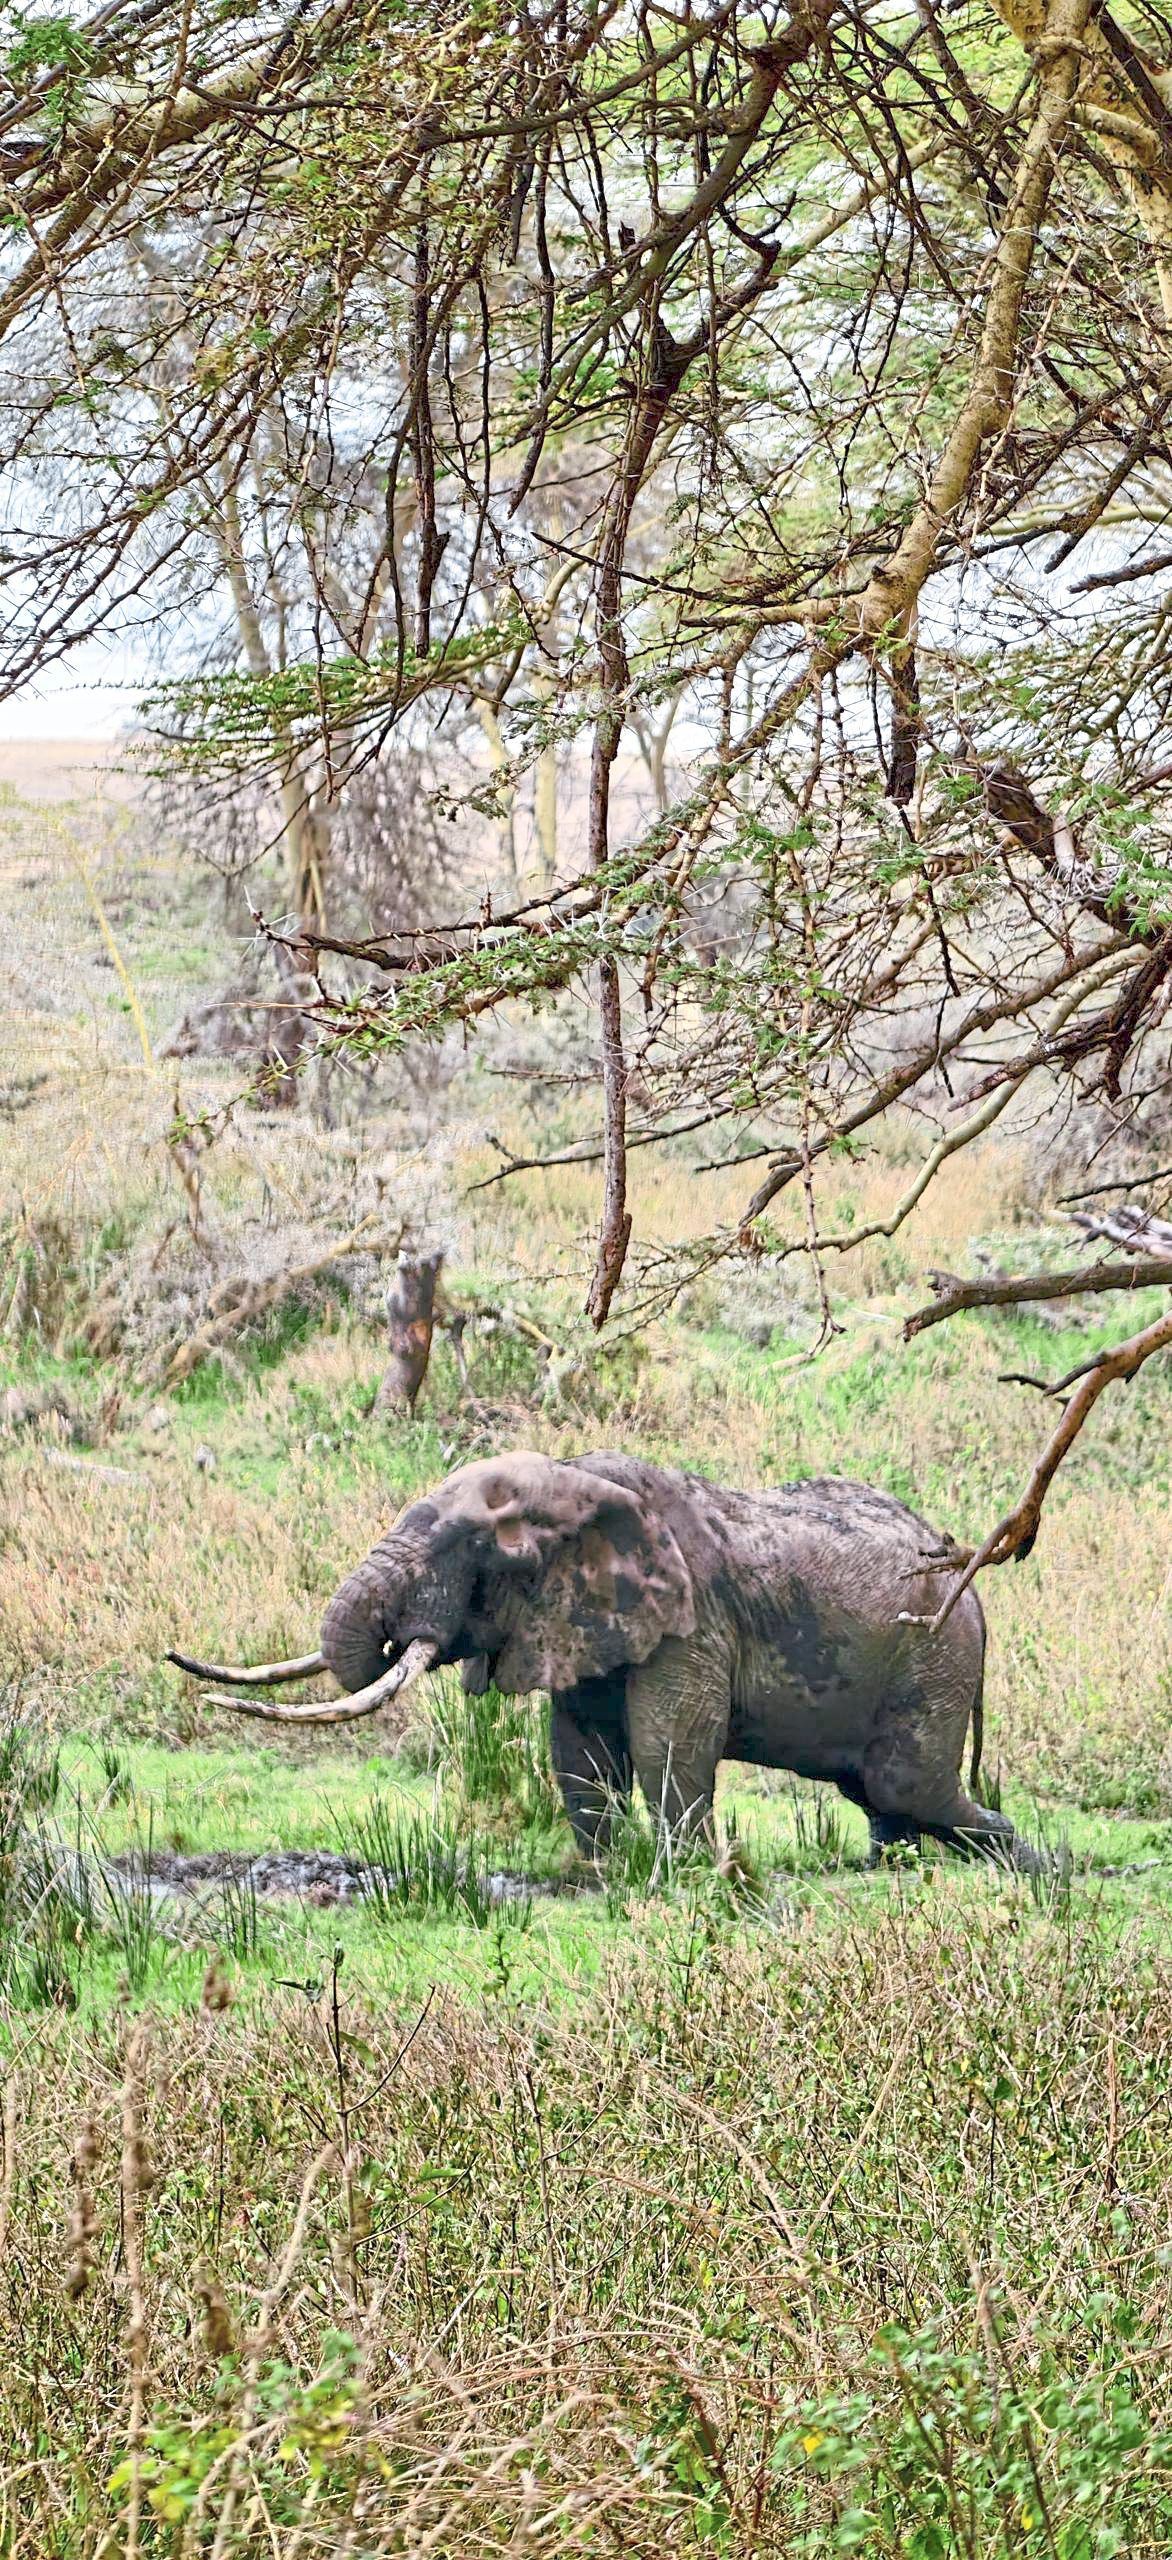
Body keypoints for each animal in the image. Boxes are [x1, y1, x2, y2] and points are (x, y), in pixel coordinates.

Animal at [168, 1448, 1036, 1872]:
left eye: (479, 1550)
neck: (577, 1483)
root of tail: (977, 1586)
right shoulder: (582, 1625)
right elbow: (580, 1751)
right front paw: (597, 1872)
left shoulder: (690, 1621)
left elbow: (665, 1746)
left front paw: (686, 1875)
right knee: (881, 1794)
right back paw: (898, 1867)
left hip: (935, 1652)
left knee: (906, 1782)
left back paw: (1025, 1861)